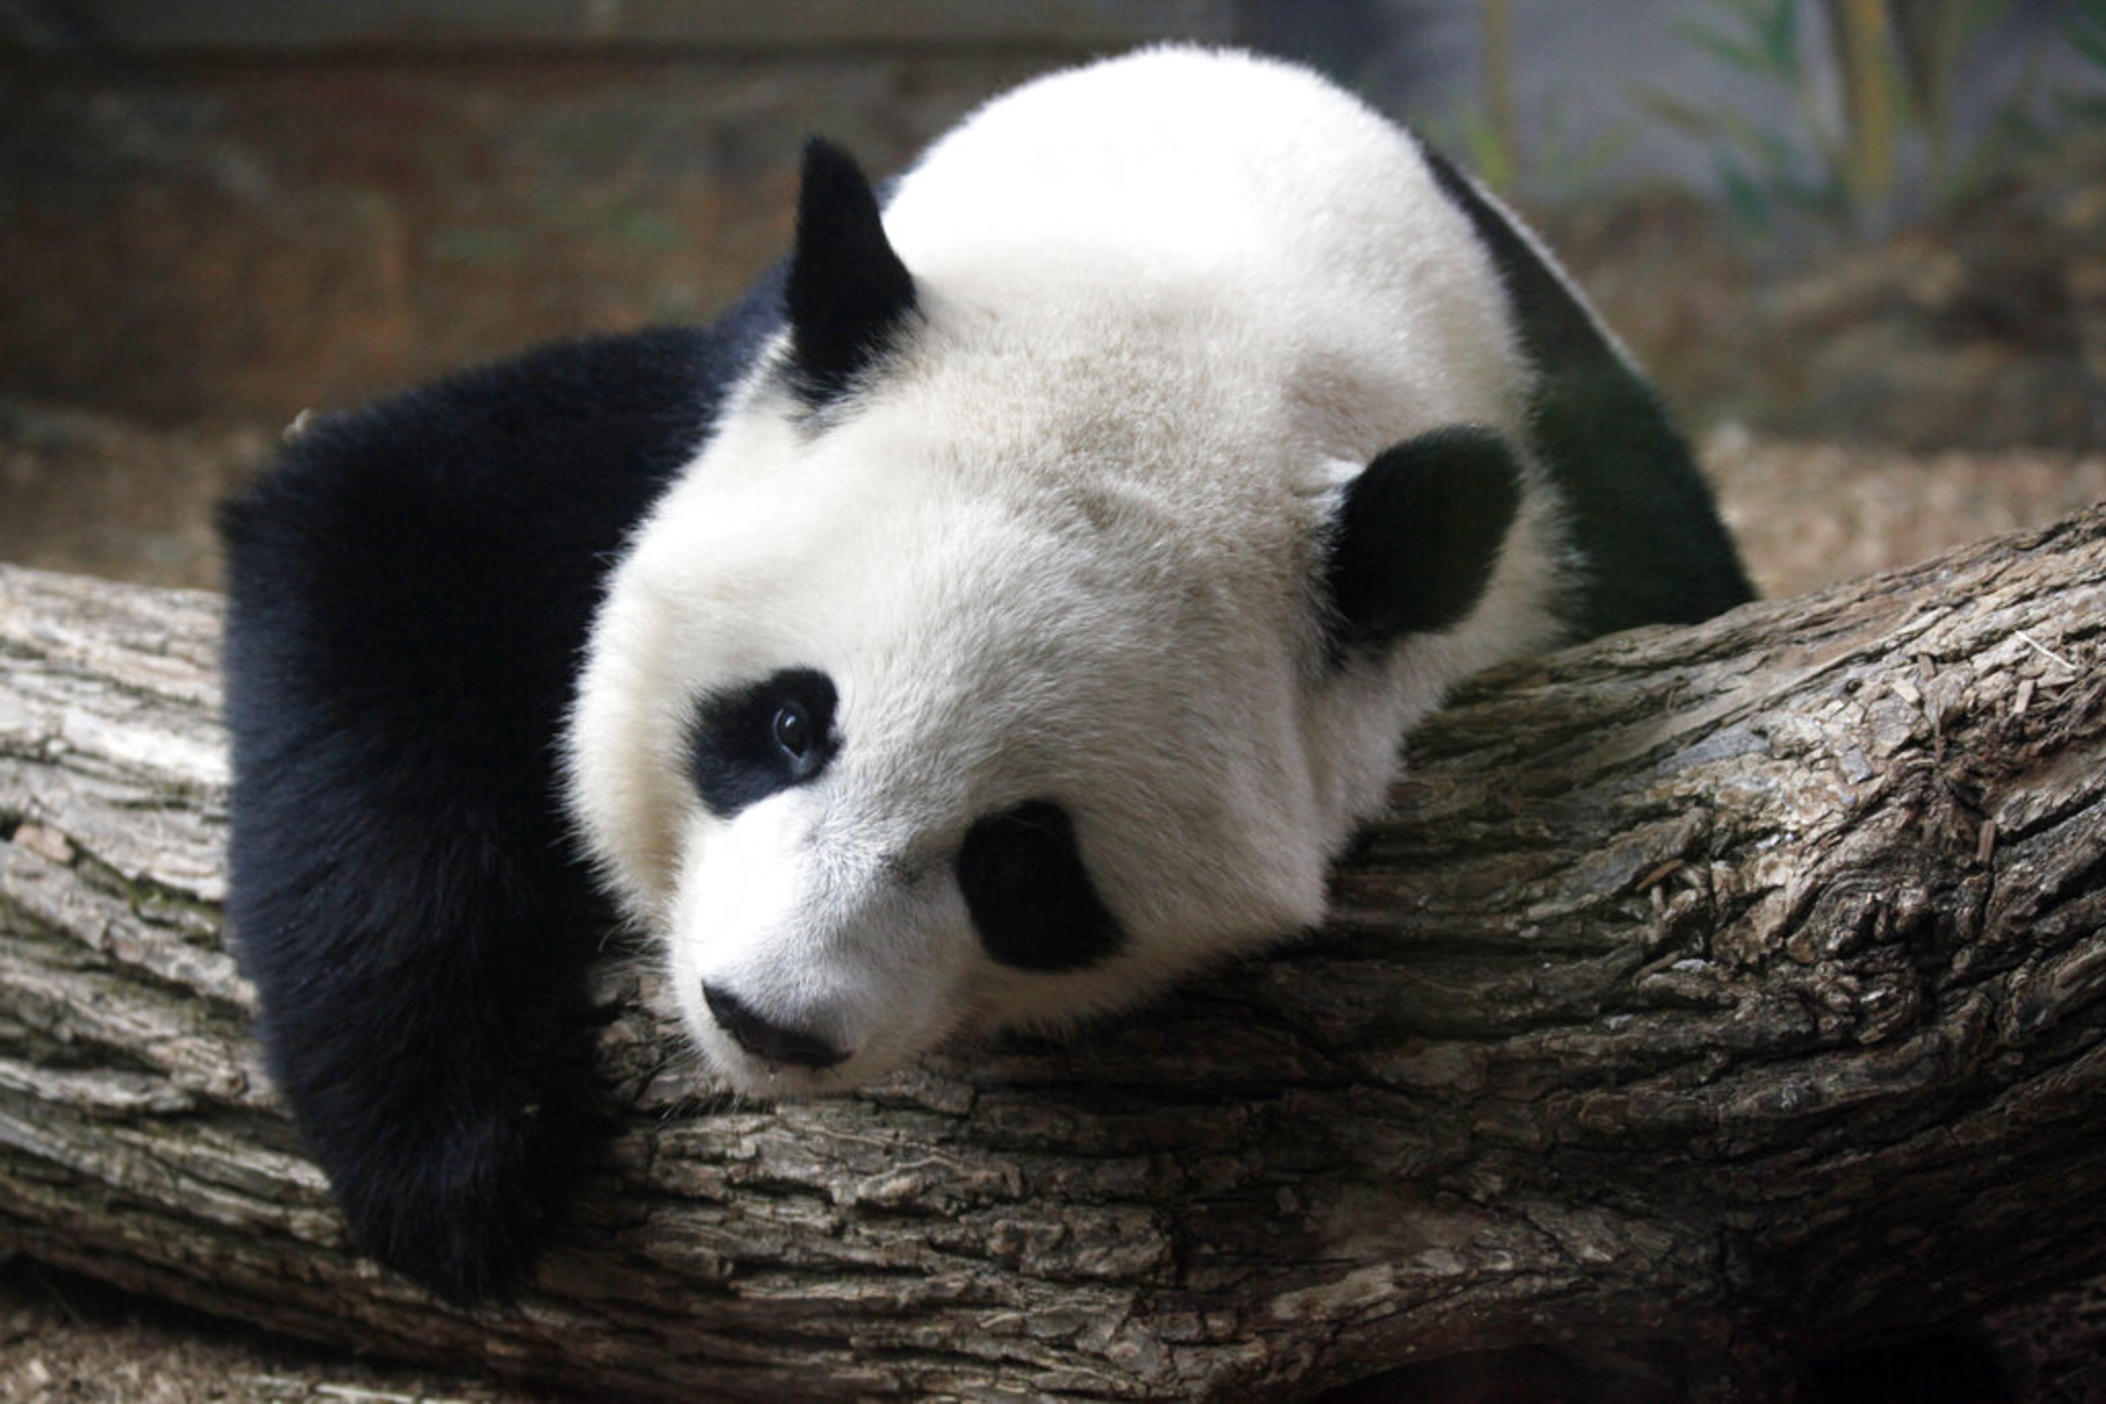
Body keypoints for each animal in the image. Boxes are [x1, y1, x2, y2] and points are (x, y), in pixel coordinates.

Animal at [222, 52, 1752, 1305]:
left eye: (1021, 862)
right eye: (789, 722)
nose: (763, 1018)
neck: (1198, 266)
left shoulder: (1578, 534)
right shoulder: (708, 410)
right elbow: (374, 528)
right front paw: (457, 1169)